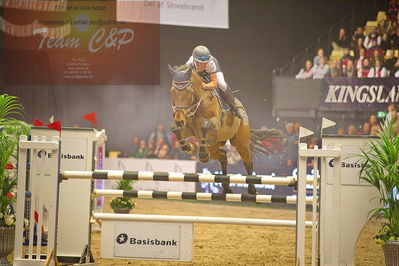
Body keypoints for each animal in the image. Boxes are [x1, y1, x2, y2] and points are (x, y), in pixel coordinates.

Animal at [169, 64, 284, 193]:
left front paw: (200, 152)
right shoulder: (188, 129)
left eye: (189, 91)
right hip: (215, 146)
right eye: (172, 91)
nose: (179, 120)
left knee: (248, 161)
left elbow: (205, 125)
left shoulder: (214, 125)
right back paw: (225, 187)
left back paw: (251, 189)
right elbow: (176, 131)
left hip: (240, 143)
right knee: (223, 156)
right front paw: (190, 147)